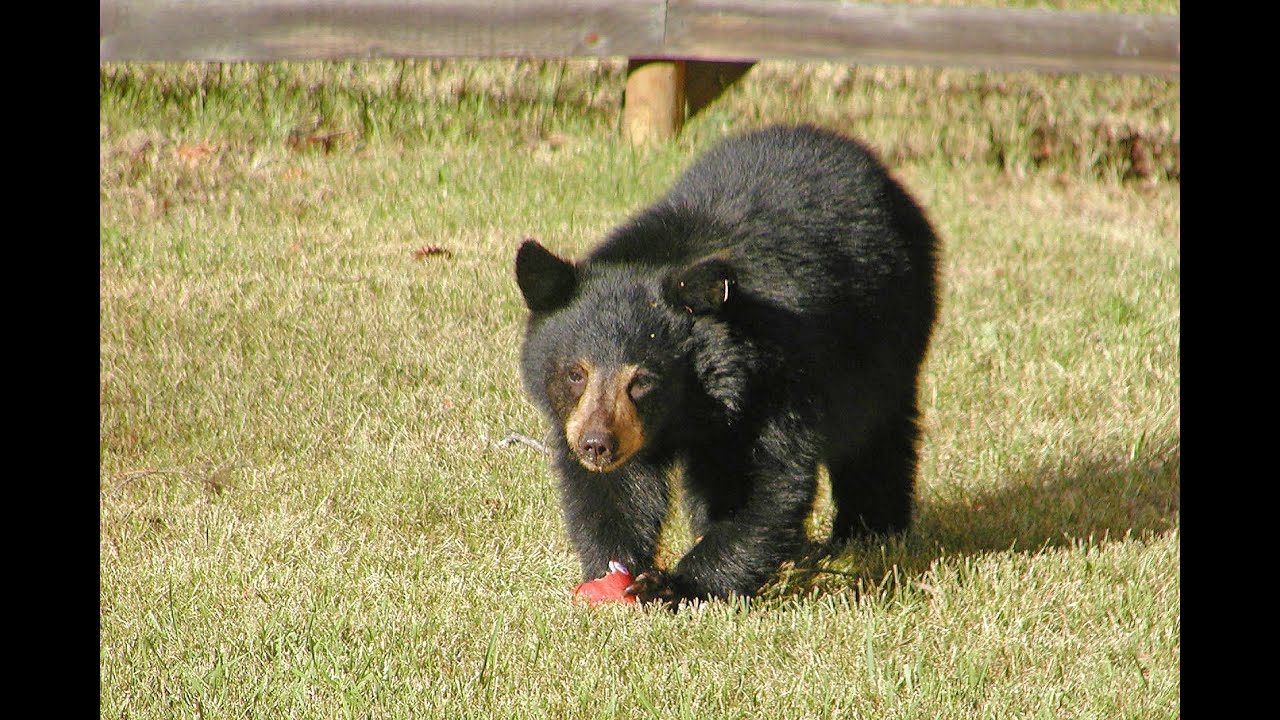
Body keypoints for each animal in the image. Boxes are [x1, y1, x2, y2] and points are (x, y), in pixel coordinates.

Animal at [512, 124, 942, 604]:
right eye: (575, 373)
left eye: (642, 380)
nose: (596, 444)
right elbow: (614, 491)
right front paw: (614, 568)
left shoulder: (775, 378)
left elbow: (763, 481)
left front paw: (675, 583)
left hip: (891, 327)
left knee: (876, 432)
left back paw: (870, 530)